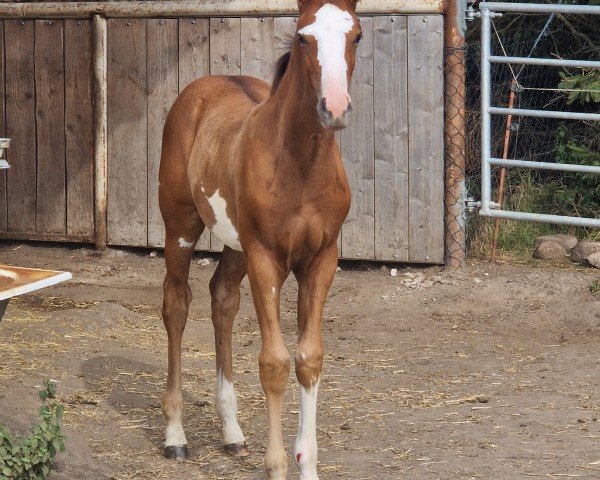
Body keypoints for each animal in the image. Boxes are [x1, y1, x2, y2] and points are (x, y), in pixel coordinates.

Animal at [158, 1, 360, 478]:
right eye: (303, 37)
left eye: (356, 35)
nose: (334, 107)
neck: (300, 166)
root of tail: (199, 88)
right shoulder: (267, 259)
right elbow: (275, 362)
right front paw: (278, 465)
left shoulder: (321, 260)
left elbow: (309, 358)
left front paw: (307, 465)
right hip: (181, 227)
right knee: (176, 305)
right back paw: (175, 436)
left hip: (237, 245)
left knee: (222, 300)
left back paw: (232, 433)